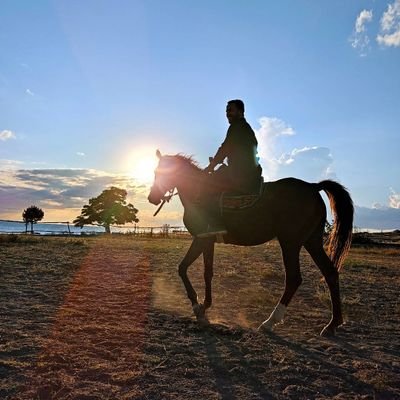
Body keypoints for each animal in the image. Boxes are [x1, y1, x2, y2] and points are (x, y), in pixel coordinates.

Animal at [148, 149, 354, 334]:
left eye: (164, 173)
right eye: (155, 172)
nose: (152, 197)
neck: (199, 192)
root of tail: (312, 186)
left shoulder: (201, 238)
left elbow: (183, 268)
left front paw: (197, 305)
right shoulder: (207, 241)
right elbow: (207, 272)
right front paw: (204, 306)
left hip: (290, 242)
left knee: (294, 278)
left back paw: (270, 322)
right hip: (312, 241)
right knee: (330, 272)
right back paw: (332, 324)